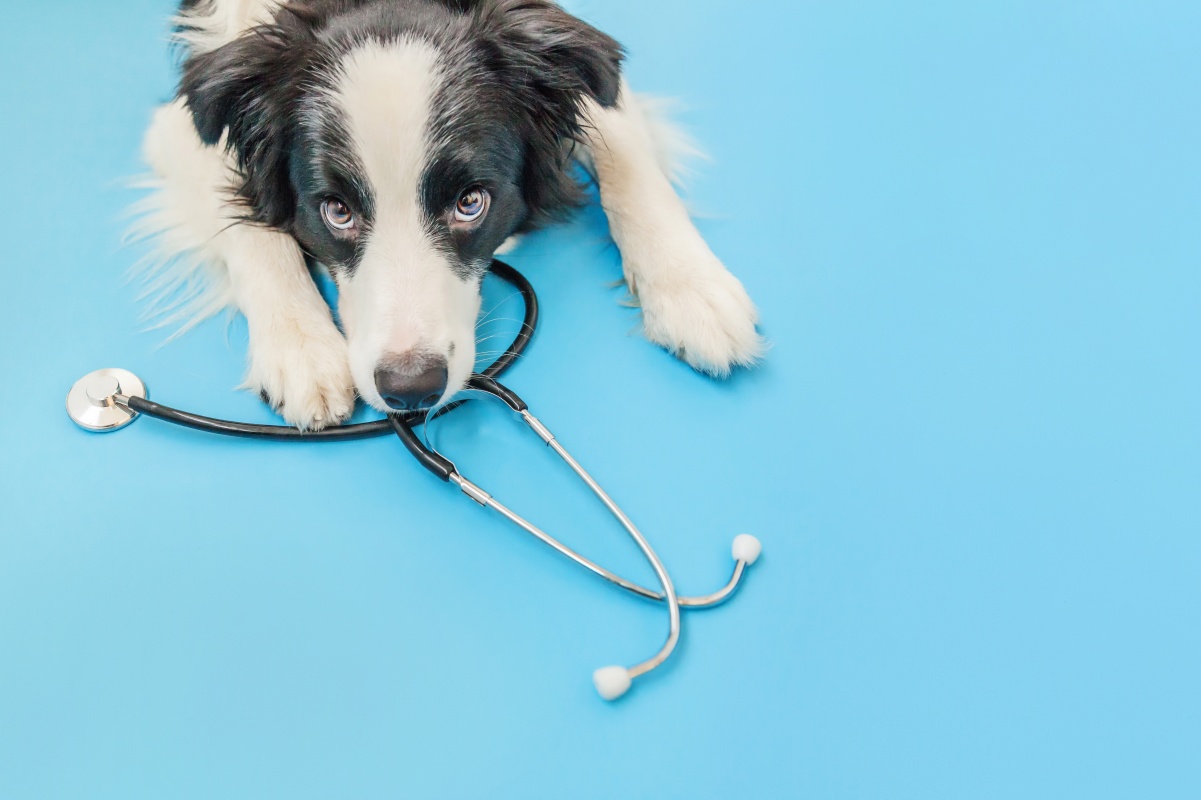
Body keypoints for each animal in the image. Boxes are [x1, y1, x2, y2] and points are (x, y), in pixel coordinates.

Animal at [136, 0, 763, 427]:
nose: (411, 388)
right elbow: (249, 228)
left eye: (470, 203)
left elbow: (624, 152)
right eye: (336, 211)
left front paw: (692, 290)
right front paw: (302, 349)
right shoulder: (182, 119)